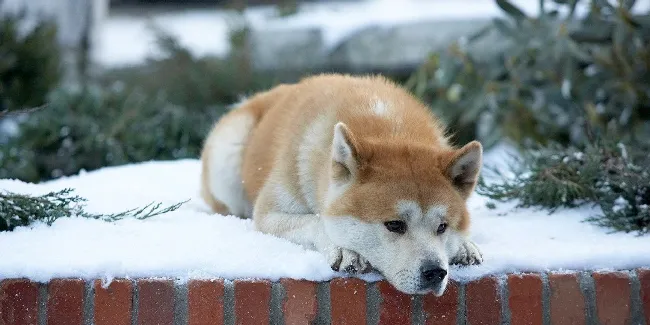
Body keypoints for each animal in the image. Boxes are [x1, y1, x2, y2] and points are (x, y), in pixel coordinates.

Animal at [201, 74, 480, 296]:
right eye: (394, 225)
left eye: (442, 227)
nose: (435, 272)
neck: (391, 130)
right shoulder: (268, 214)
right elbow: (315, 221)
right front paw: (345, 250)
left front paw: (464, 246)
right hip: (228, 157)